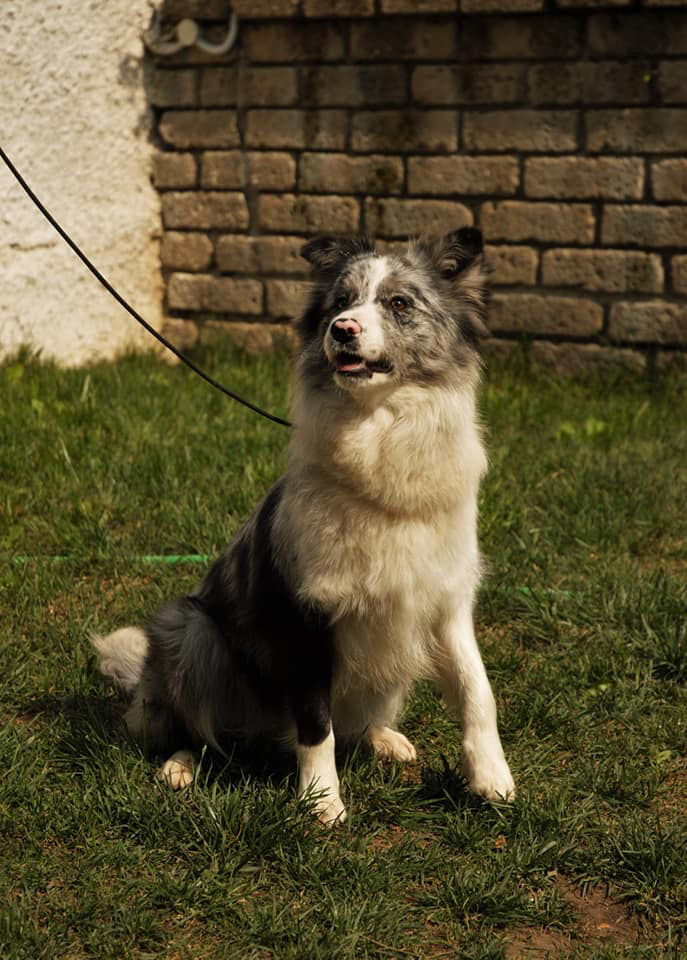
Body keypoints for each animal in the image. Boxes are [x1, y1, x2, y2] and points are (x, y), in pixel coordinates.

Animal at [95, 227, 516, 824]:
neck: (381, 437)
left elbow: (479, 690)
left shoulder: (445, 602)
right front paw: (322, 803)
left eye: (399, 303)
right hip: (192, 631)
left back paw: (385, 739)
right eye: (341, 302)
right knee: (199, 729)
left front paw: (491, 777)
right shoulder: (308, 612)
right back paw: (180, 766)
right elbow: (317, 721)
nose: (343, 330)